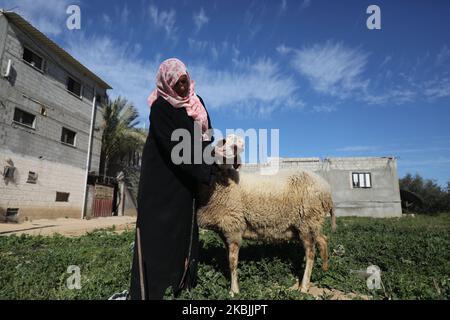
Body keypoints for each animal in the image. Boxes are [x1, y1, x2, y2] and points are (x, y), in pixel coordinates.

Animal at [196, 135, 334, 296]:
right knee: (323, 239)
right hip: (311, 224)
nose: (239, 145)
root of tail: (326, 187)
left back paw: (304, 287)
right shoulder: (225, 230)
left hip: (307, 221)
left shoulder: (233, 227)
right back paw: (324, 269)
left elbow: (232, 262)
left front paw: (234, 291)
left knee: (310, 253)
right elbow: (228, 259)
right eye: (222, 142)